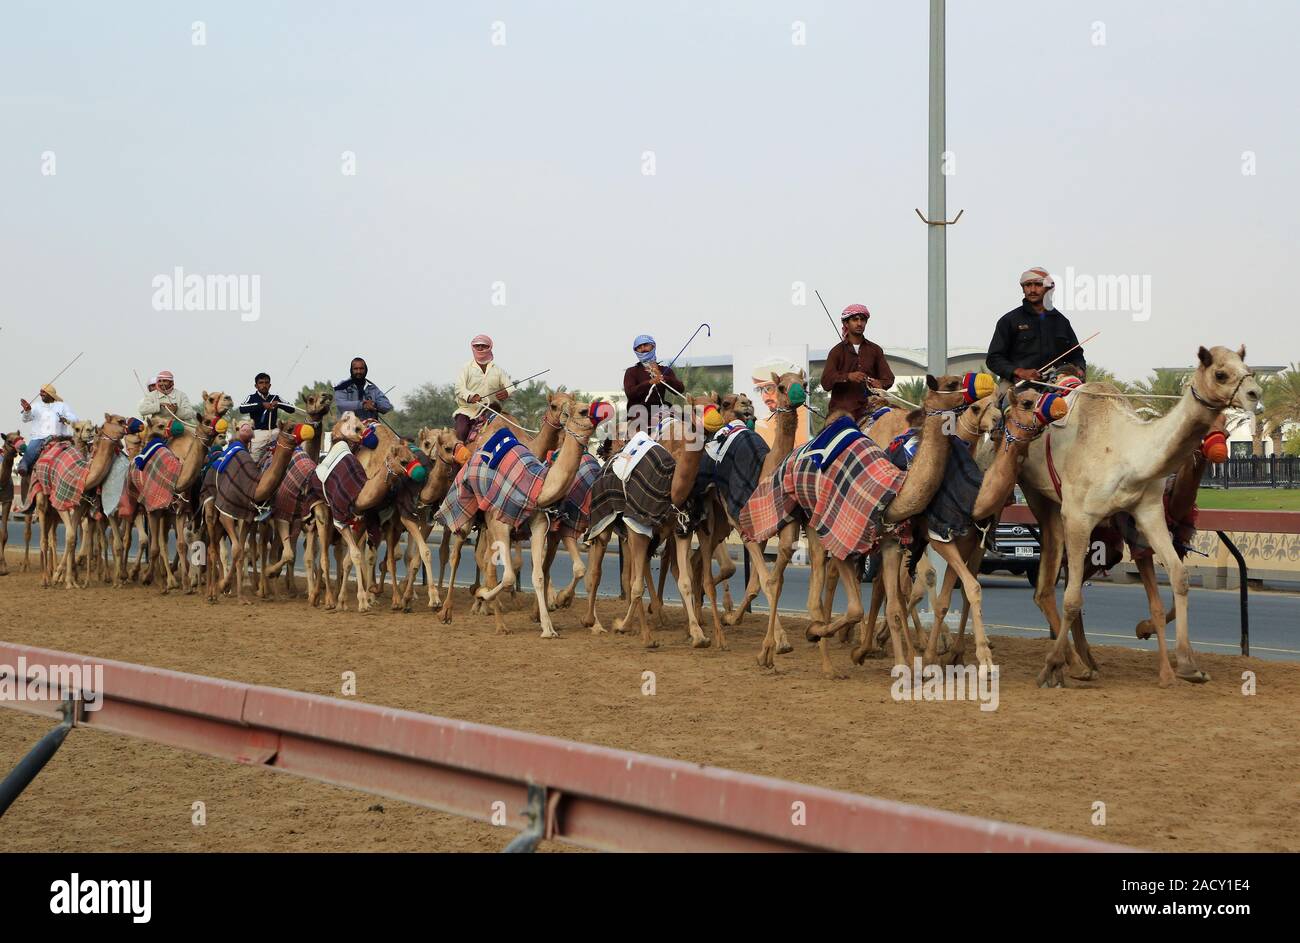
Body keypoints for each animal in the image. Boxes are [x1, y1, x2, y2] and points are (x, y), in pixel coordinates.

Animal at [1019, 345, 1253, 686]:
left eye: (1248, 368)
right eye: (1220, 373)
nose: (1254, 392)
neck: (1124, 452)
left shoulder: (1148, 511)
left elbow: (1178, 577)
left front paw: (1187, 666)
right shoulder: (1078, 515)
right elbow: (1074, 598)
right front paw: (1050, 666)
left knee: (1050, 584)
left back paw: (1079, 662)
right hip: (1041, 497)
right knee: (1051, 586)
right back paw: (1069, 665)